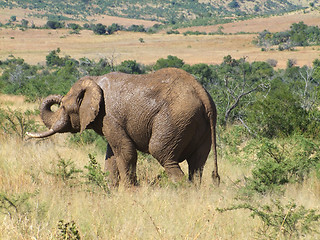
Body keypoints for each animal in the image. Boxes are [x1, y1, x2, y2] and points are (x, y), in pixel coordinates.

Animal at [26, 68, 220, 187]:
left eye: (64, 107)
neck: (95, 81)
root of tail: (203, 95)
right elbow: (111, 154)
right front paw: (109, 189)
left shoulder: (109, 116)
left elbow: (125, 151)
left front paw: (130, 192)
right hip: (201, 125)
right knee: (197, 164)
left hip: (175, 119)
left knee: (162, 153)